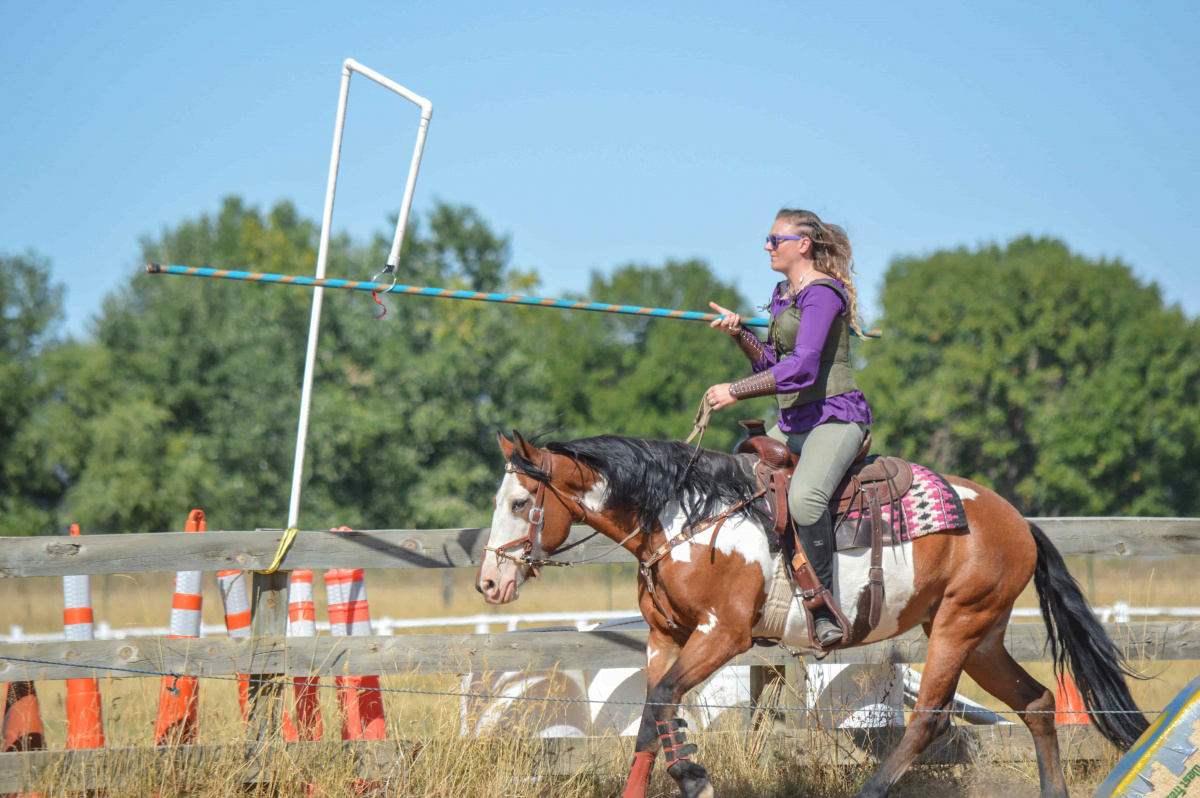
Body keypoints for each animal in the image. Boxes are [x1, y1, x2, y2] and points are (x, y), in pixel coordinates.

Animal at [472, 429, 1147, 796]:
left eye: (520, 501)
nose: (488, 582)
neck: (687, 517)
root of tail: (1017, 521)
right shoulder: (667, 637)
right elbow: (648, 717)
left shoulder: (723, 637)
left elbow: (662, 702)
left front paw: (695, 777)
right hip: (980, 637)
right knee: (1037, 702)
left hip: (959, 628)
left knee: (928, 720)